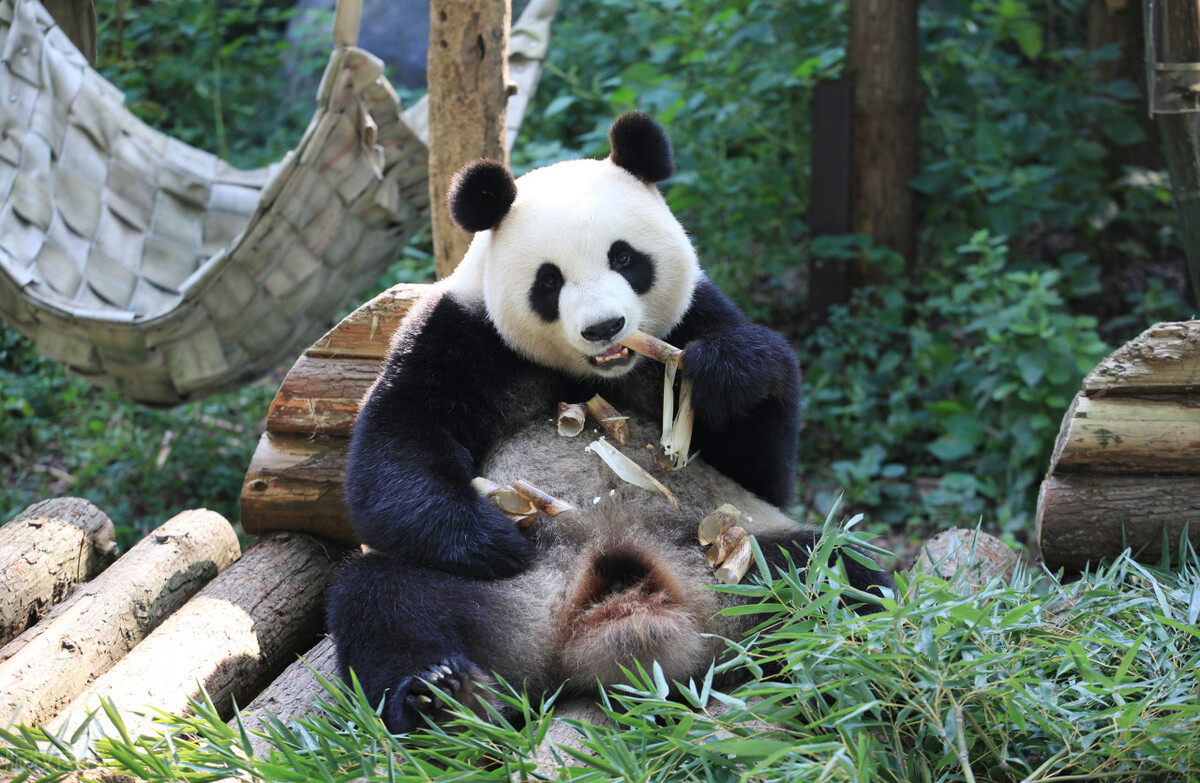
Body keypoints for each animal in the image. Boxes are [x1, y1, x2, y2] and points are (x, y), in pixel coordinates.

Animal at [326, 413, 892, 730]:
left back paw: (846, 660)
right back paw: (439, 698)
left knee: (834, 571)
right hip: (517, 601)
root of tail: (629, 609)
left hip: (744, 575)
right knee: (381, 599)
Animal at [340, 111, 806, 581]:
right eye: (549, 281)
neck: (593, 374)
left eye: (623, 258)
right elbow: (399, 441)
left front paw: (727, 371)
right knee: (380, 586)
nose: (604, 327)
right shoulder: (460, 338)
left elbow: (759, 470)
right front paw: (492, 539)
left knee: (806, 562)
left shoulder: (694, 315)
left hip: (752, 548)